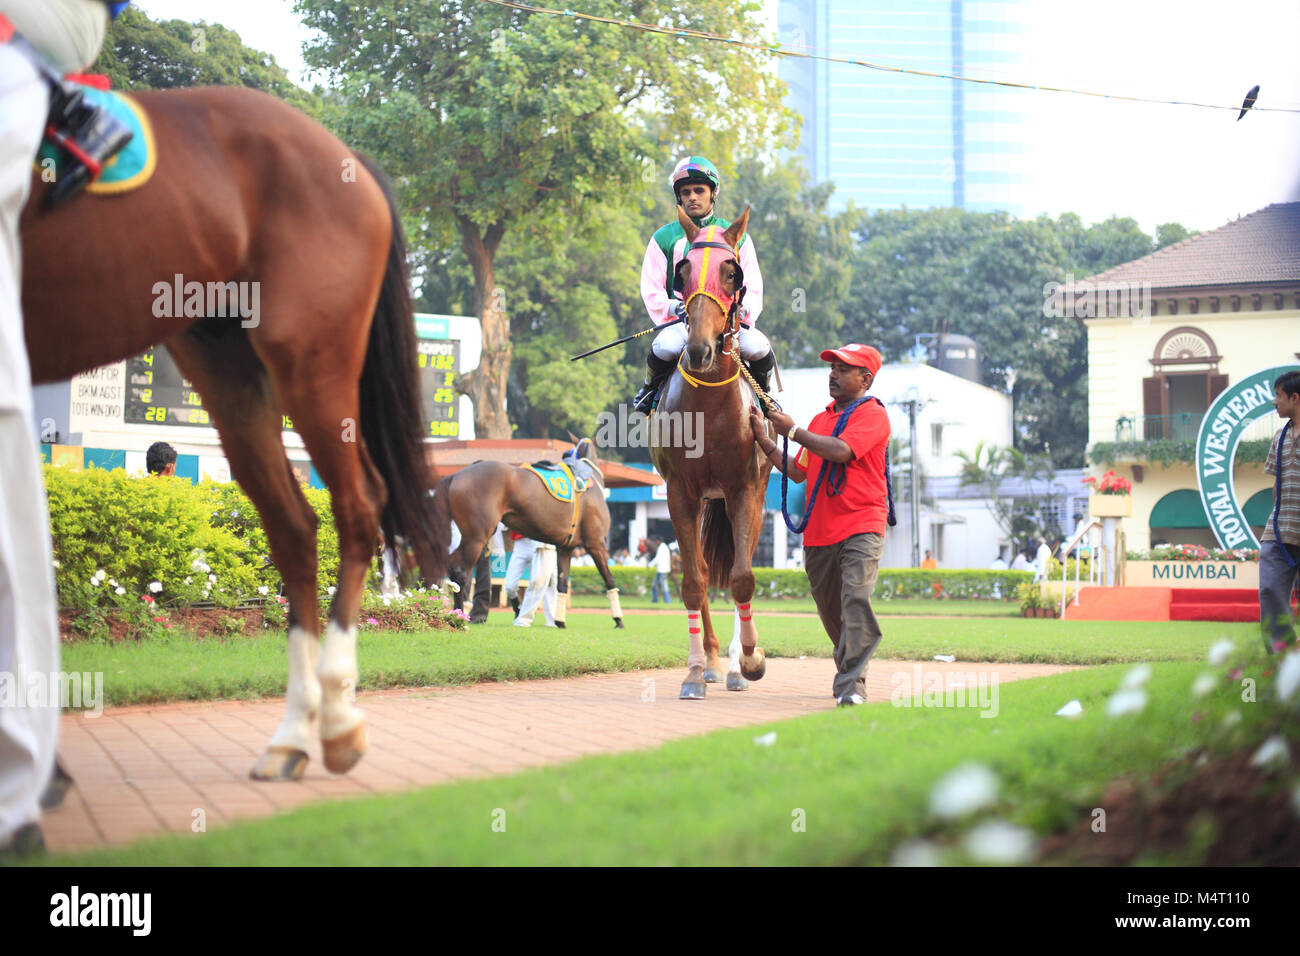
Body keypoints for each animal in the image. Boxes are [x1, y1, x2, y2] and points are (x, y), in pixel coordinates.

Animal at [19, 85, 447, 780]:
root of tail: (346, 158)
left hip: (309, 359)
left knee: (357, 507)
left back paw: (334, 720)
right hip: (225, 359)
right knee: (297, 526)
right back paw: (294, 735)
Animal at [431, 439, 624, 629]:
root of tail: (455, 475)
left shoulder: (565, 548)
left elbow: (562, 585)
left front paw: (560, 622)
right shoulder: (596, 543)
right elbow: (609, 580)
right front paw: (618, 620)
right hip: (476, 537)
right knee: (460, 571)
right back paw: (459, 616)